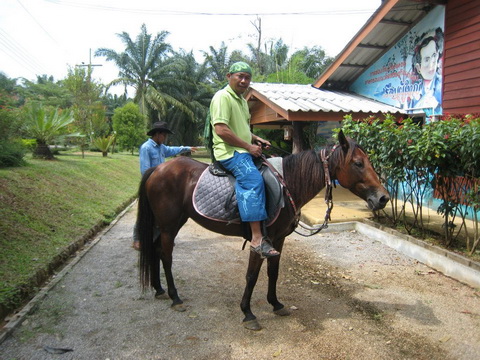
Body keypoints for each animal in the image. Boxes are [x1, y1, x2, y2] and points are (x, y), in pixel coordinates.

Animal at [136, 131, 390, 330]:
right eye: (358, 163)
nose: (383, 198)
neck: (288, 184)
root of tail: (158, 168)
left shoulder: (278, 241)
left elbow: (273, 273)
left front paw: (276, 304)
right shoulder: (260, 243)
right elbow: (252, 276)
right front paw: (248, 313)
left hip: (167, 224)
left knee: (154, 249)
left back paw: (159, 289)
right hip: (169, 226)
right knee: (166, 256)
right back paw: (175, 297)